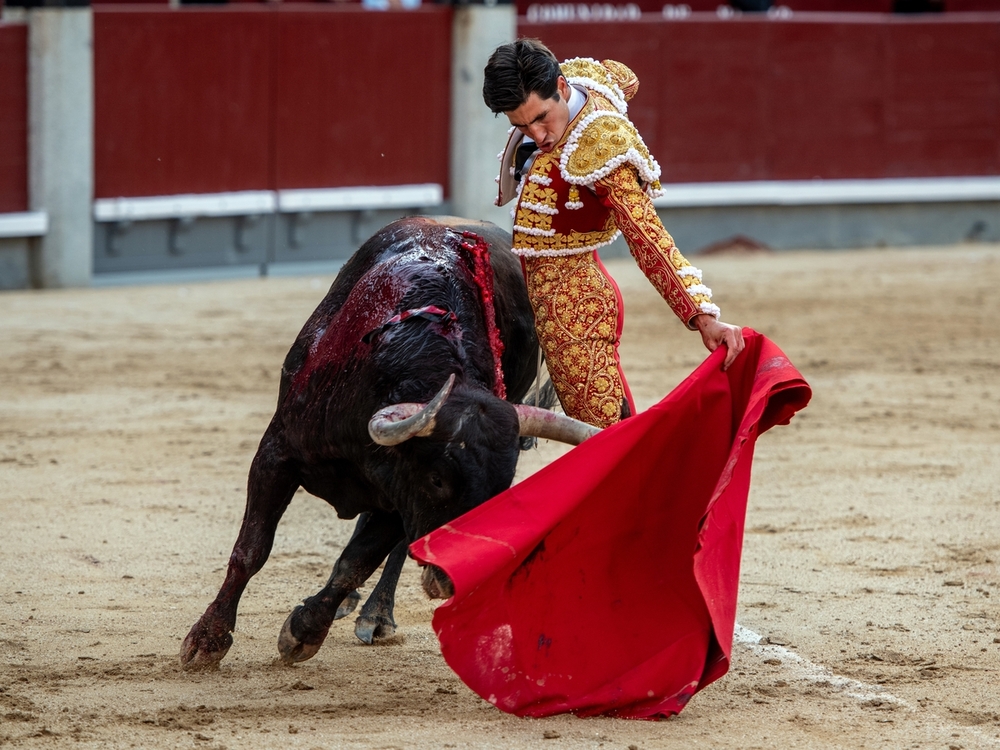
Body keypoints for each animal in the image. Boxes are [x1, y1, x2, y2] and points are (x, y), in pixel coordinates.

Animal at [180, 216, 592, 668]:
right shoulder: (277, 454)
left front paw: (303, 631)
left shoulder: (398, 493)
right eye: (437, 480)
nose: (452, 581)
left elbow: (356, 562)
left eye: (500, 491)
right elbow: (252, 548)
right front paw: (207, 640)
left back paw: (376, 615)